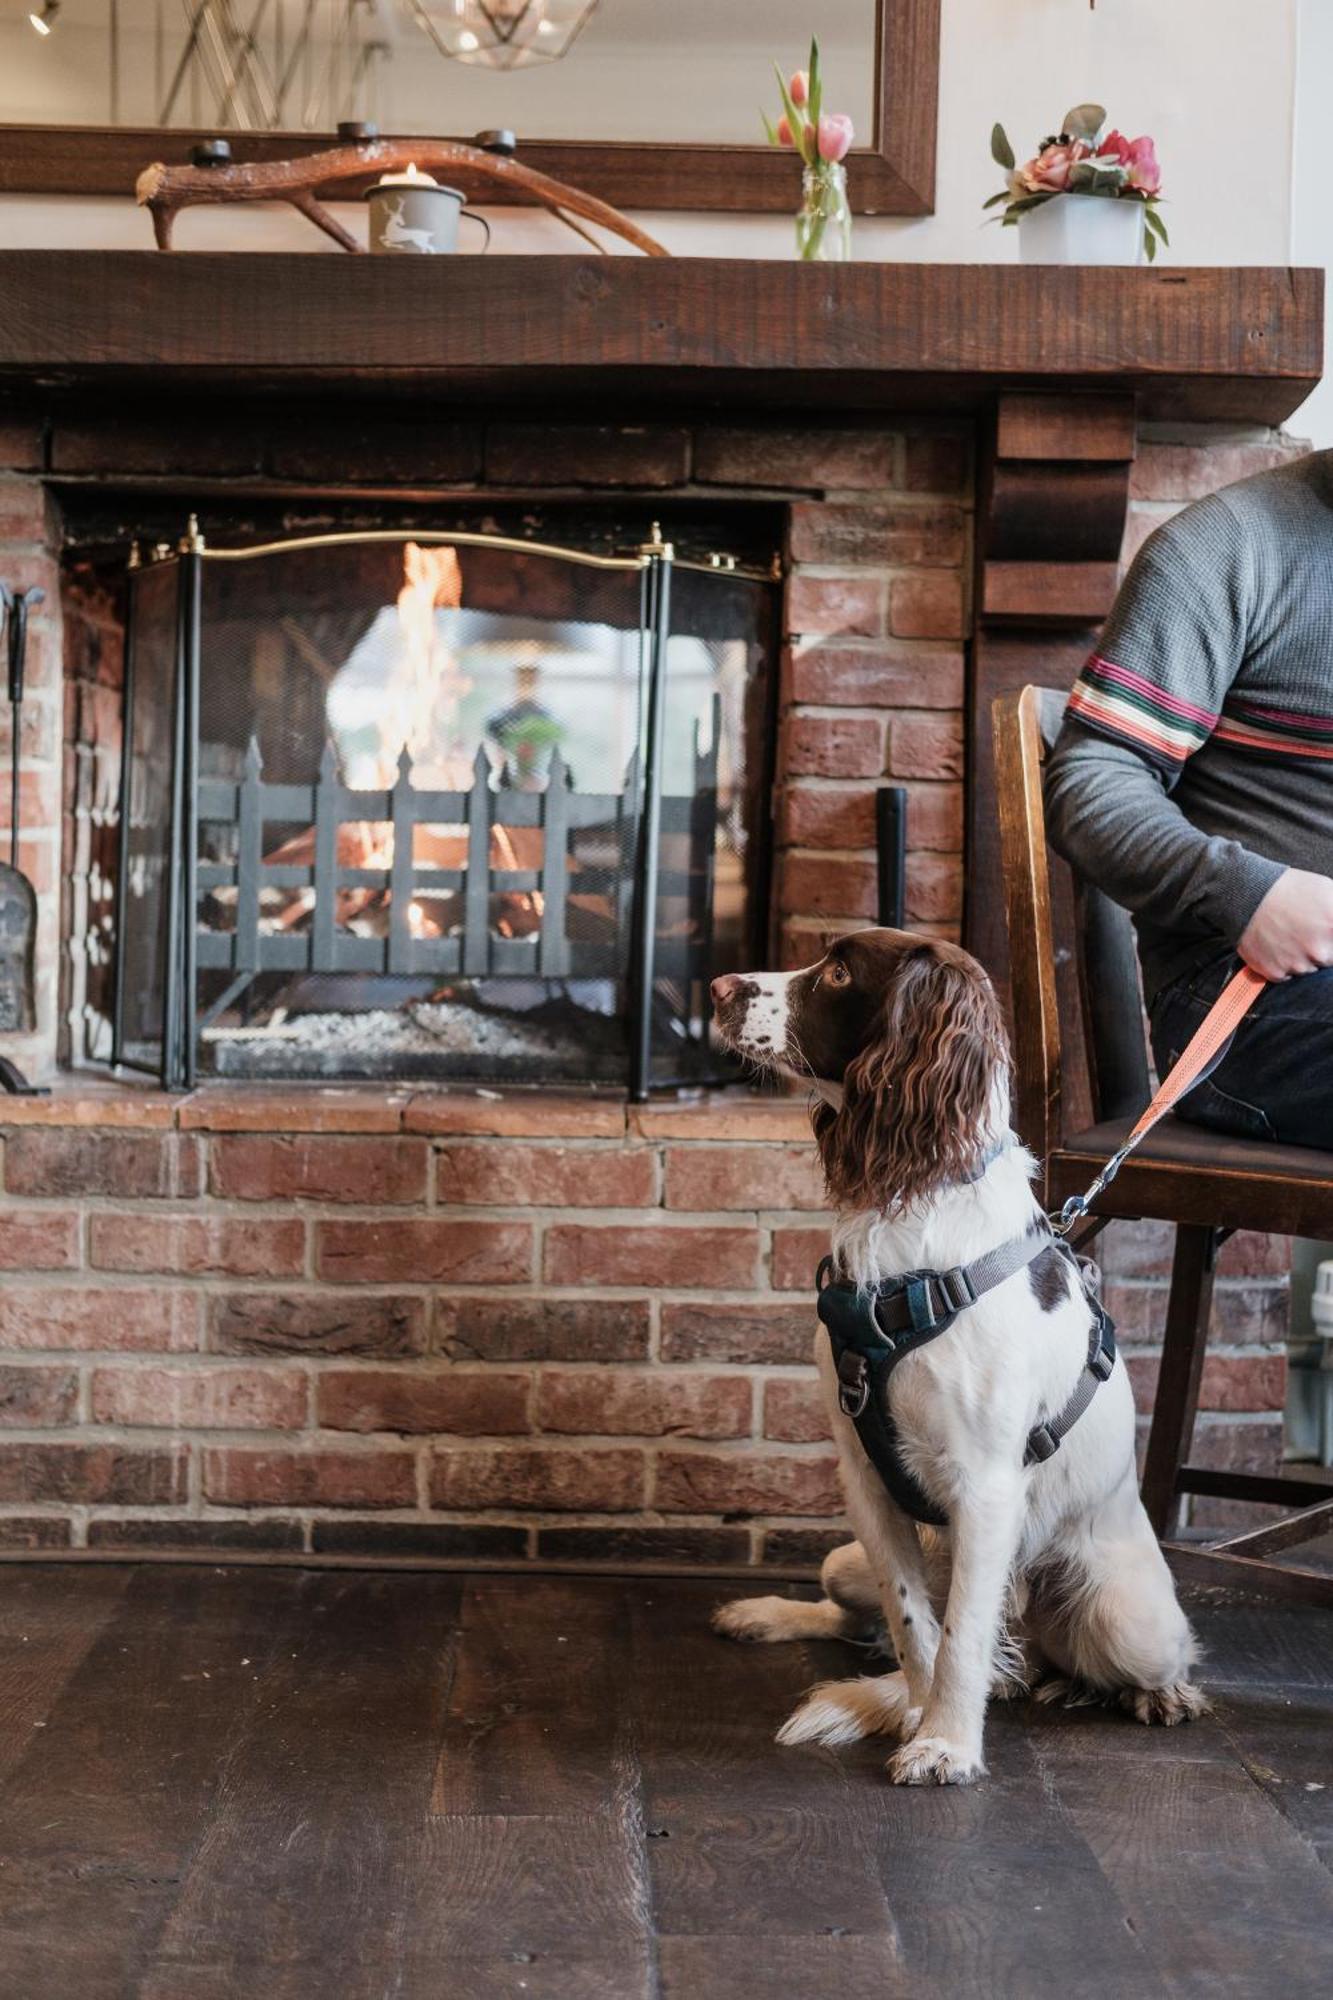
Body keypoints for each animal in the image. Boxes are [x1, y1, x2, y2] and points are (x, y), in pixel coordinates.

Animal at [712, 928, 1200, 1792]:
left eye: (838, 972)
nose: (716, 987)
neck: (911, 1220)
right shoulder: (865, 1482)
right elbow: (914, 1624)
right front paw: (913, 1712)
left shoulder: (987, 1486)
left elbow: (963, 1639)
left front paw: (945, 1744)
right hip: (842, 1558)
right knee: (852, 1613)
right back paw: (766, 1614)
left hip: (1124, 1617)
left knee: (1131, 1656)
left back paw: (1156, 1693)